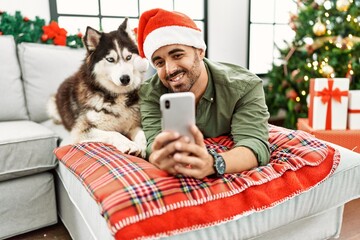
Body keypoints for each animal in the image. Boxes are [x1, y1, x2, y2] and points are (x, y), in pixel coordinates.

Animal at [48, 18, 149, 158]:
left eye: (129, 57)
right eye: (110, 59)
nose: (125, 79)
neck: (115, 95)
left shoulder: (133, 124)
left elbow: (142, 134)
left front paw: (143, 147)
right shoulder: (81, 130)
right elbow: (114, 133)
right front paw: (129, 144)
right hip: (51, 104)